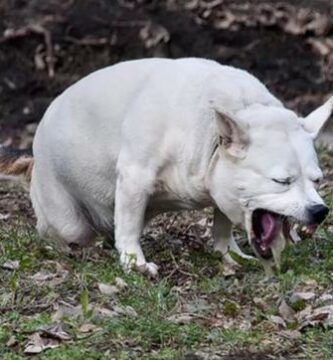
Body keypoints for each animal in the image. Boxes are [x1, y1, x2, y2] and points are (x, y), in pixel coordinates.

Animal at [3, 57, 330, 276]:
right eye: (282, 181)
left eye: (317, 180)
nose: (320, 211)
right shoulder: (135, 178)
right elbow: (129, 225)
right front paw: (134, 262)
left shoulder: (221, 185)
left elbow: (222, 223)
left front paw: (229, 253)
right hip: (67, 219)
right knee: (63, 231)